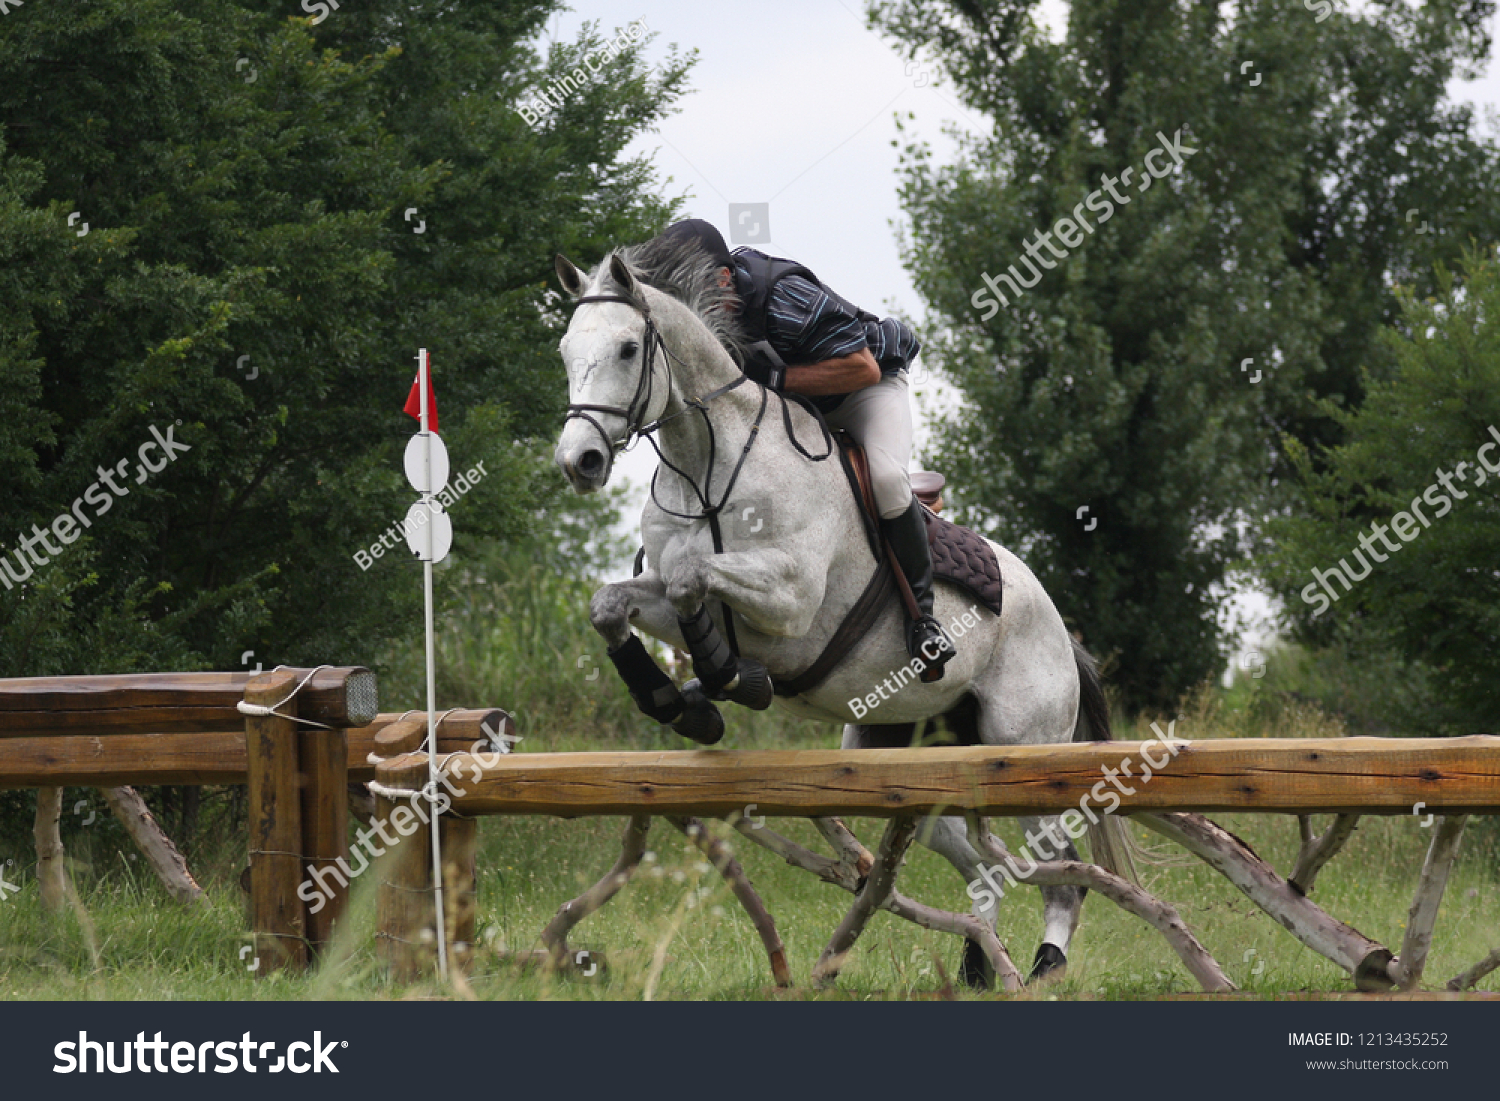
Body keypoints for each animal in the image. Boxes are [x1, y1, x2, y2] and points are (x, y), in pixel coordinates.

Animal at [549, 240, 1128, 984]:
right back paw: (977, 958)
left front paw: (727, 680)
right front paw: (680, 702)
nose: (581, 461)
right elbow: (614, 603)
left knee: (1063, 875)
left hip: (1024, 750)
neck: (706, 463)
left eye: (627, 348)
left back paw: (1045, 965)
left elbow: (689, 580)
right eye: (566, 350)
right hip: (901, 756)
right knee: (979, 865)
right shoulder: (663, 594)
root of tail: (1060, 627)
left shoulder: (791, 601)